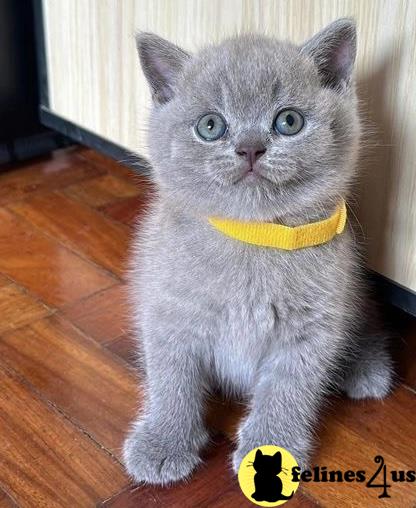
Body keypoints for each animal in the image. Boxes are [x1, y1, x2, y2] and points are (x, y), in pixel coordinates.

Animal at [123, 18, 394, 484]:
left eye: (288, 121)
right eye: (210, 126)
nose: (250, 147)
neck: (255, 238)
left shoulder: (312, 326)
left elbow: (288, 388)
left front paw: (272, 445)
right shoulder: (168, 309)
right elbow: (171, 378)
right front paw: (163, 440)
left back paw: (365, 366)